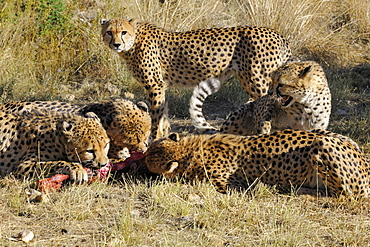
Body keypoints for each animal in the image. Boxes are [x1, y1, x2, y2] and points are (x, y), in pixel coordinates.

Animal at [100, 17, 292, 139]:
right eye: (109, 32)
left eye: (123, 32)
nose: (116, 44)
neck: (134, 42)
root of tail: (278, 34)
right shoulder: (162, 86)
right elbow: (164, 113)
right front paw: (165, 137)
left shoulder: (154, 85)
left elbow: (156, 116)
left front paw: (155, 138)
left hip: (256, 80)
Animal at [146, 130, 368, 198]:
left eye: (148, 158)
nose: (142, 154)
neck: (188, 150)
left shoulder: (232, 186)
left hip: (322, 143)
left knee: (346, 194)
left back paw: (298, 189)